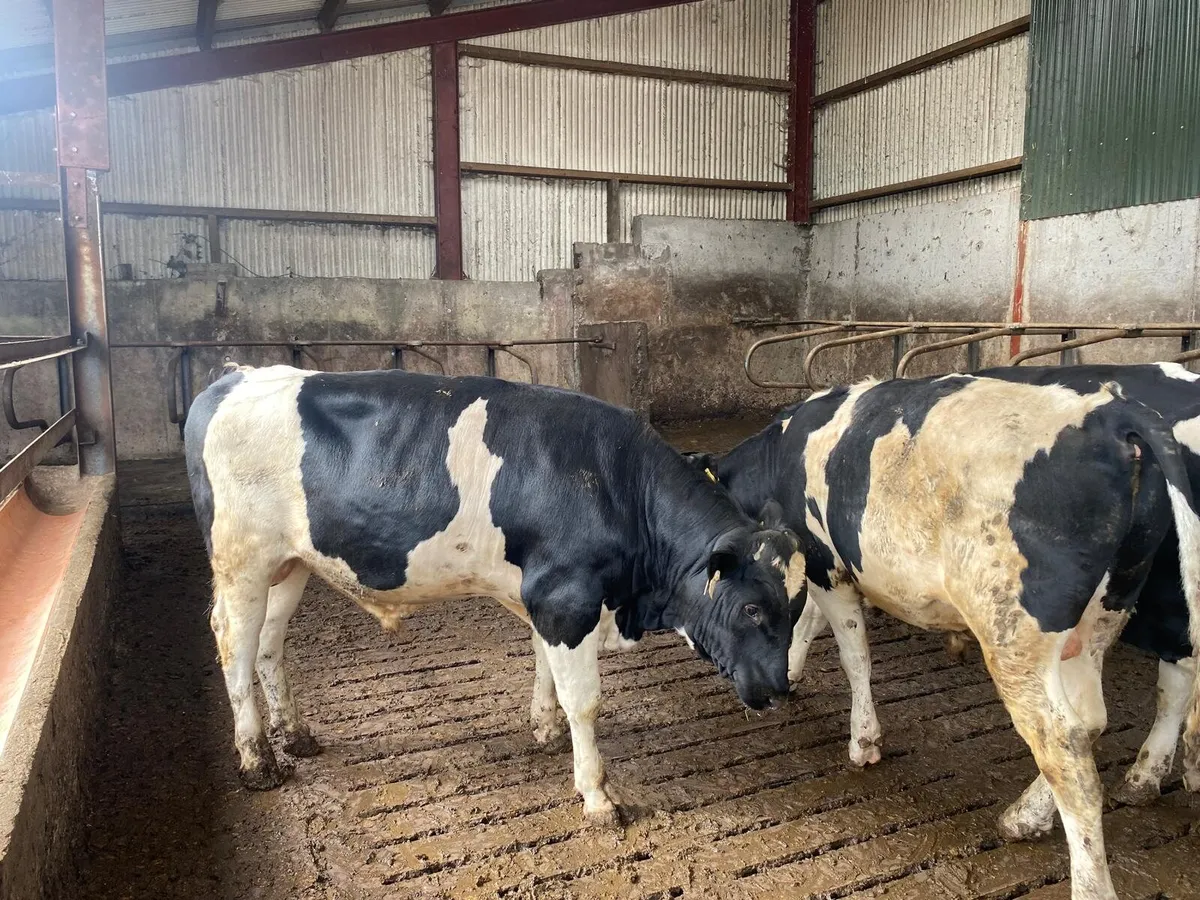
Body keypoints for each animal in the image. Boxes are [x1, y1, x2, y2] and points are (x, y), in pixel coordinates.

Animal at [184, 364, 801, 824]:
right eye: (751, 607)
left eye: (796, 605)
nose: (779, 690)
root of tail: (232, 379)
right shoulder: (565, 597)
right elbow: (585, 700)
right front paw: (597, 795)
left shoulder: (546, 597)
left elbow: (545, 668)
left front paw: (545, 729)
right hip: (242, 560)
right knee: (234, 647)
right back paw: (258, 760)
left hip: (290, 563)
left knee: (269, 643)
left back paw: (296, 735)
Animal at [684, 373, 1200, 900]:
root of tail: (1113, 415)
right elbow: (808, 621)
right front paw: (790, 670)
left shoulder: (826, 563)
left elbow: (852, 651)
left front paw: (863, 740)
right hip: (1101, 619)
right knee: (1093, 719)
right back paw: (1026, 815)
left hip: (1014, 634)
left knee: (1067, 748)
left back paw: (1090, 874)